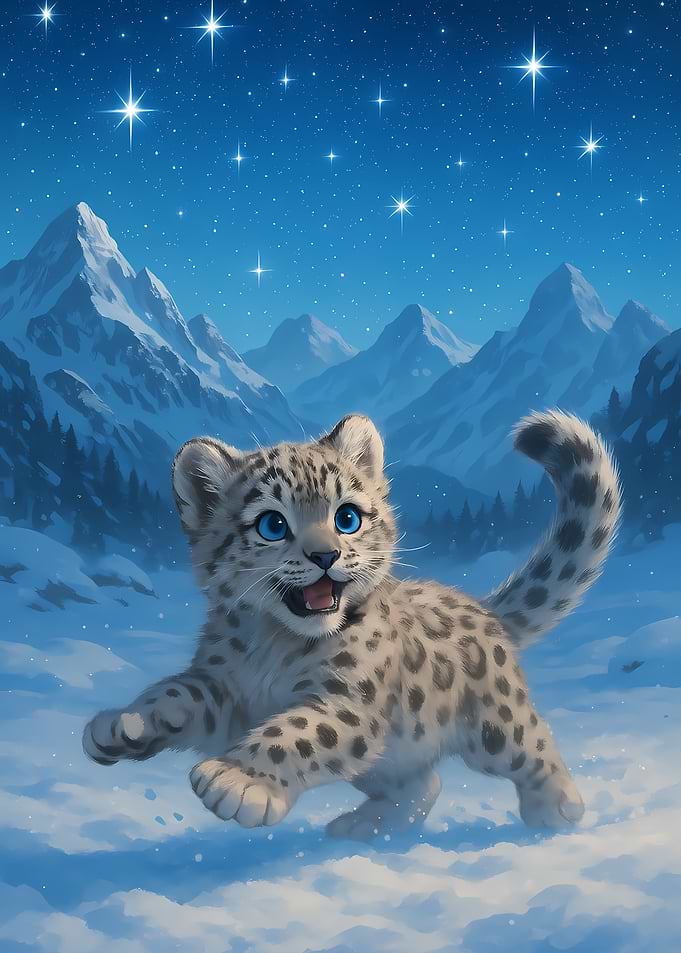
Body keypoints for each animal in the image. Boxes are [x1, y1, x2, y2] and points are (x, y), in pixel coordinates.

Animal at [83, 409, 622, 840]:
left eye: (347, 517)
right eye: (272, 524)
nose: (326, 556)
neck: (273, 643)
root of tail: (479, 607)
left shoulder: (348, 701)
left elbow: (297, 731)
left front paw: (235, 781)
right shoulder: (224, 685)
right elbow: (177, 691)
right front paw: (124, 724)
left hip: (495, 724)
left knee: (533, 742)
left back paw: (557, 809)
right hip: (393, 756)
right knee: (425, 783)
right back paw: (363, 826)